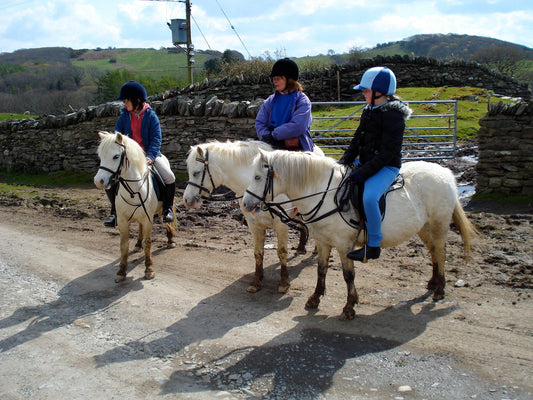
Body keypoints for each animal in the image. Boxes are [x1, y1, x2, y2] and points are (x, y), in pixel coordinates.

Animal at [93, 131, 177, 282]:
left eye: (116, 156)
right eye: (100, 156)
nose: (99, 181)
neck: (133, 190)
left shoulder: (148, 220)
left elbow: (148, 242)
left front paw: (149, 269)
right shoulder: (122, 220)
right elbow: (123, 245)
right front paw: (121, 271)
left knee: (167, 220)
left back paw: (170, 240)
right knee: (139, 227)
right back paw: (138, 244)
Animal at [183, 141, 324, 294]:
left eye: (196, 173)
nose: (187, 200)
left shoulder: (281, 225)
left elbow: (281, 252)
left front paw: (284, 282)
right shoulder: (254, 225)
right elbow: (258, 253)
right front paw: (256, 281)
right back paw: (301, 247)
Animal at [243, 149, 476, 318]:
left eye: (257, 176)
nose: (245, 204)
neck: (324, 194)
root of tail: (445, 173)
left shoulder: (344, 245)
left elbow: (348, 275)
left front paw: (349, 306)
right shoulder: (323, 241)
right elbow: (321, 269)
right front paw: (315, 298)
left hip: (438, 224)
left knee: (441, 253)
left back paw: (439, 290)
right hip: (424, 227)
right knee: (433, 252)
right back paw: (433, 282)